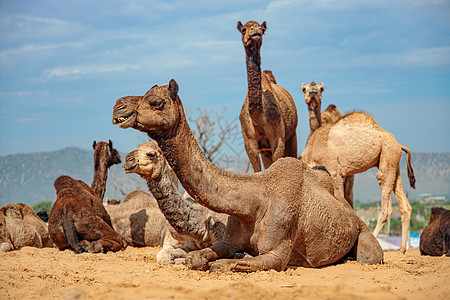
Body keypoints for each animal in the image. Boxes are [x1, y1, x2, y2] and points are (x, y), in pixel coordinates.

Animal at [112, 78, 384, 272]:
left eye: (156, 102)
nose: (118, 106)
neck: (253, 201)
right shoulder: (225, 241)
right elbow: (197, 258)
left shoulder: (276, 254)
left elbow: (226, 264)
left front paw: (237, 257)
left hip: (365, 237)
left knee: (371, 255)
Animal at [237, 20, 298, 171]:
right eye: (244, 29)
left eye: (262, 29)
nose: (256, 30)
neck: (258, 115)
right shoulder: (250, 143)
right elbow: (257, 171)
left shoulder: (278, 139)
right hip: (266, 150)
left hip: (292, 136)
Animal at [300, 110, 416, 253]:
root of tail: (399, 144)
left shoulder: (334, 171)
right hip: (393, 162)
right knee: (405, 205)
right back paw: (401, 249)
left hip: (388, 155)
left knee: (386, 207)